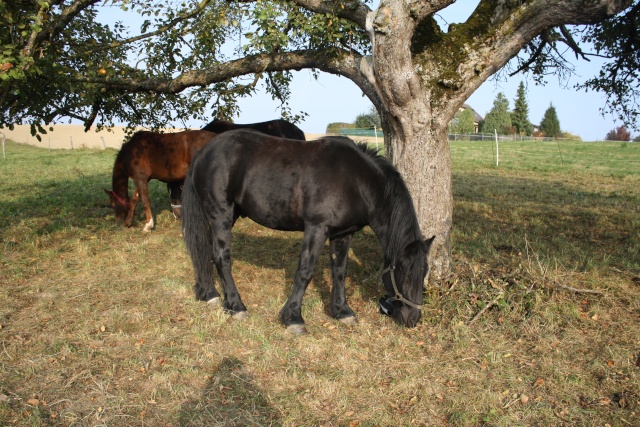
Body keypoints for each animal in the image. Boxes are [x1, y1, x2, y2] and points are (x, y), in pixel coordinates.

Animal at [180, 129, 436, 336]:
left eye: (424, 272)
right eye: (402, 270)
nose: (413, 319)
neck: (356, 180)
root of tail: (204, 151)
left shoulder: (343, 234)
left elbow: (339, 271)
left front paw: (342, 312)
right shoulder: (317, 228)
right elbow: (305, 272)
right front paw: (293, 318)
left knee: (206, 251)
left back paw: (209, 293)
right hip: (221, 215)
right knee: (221, 257)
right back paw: (236, 306)